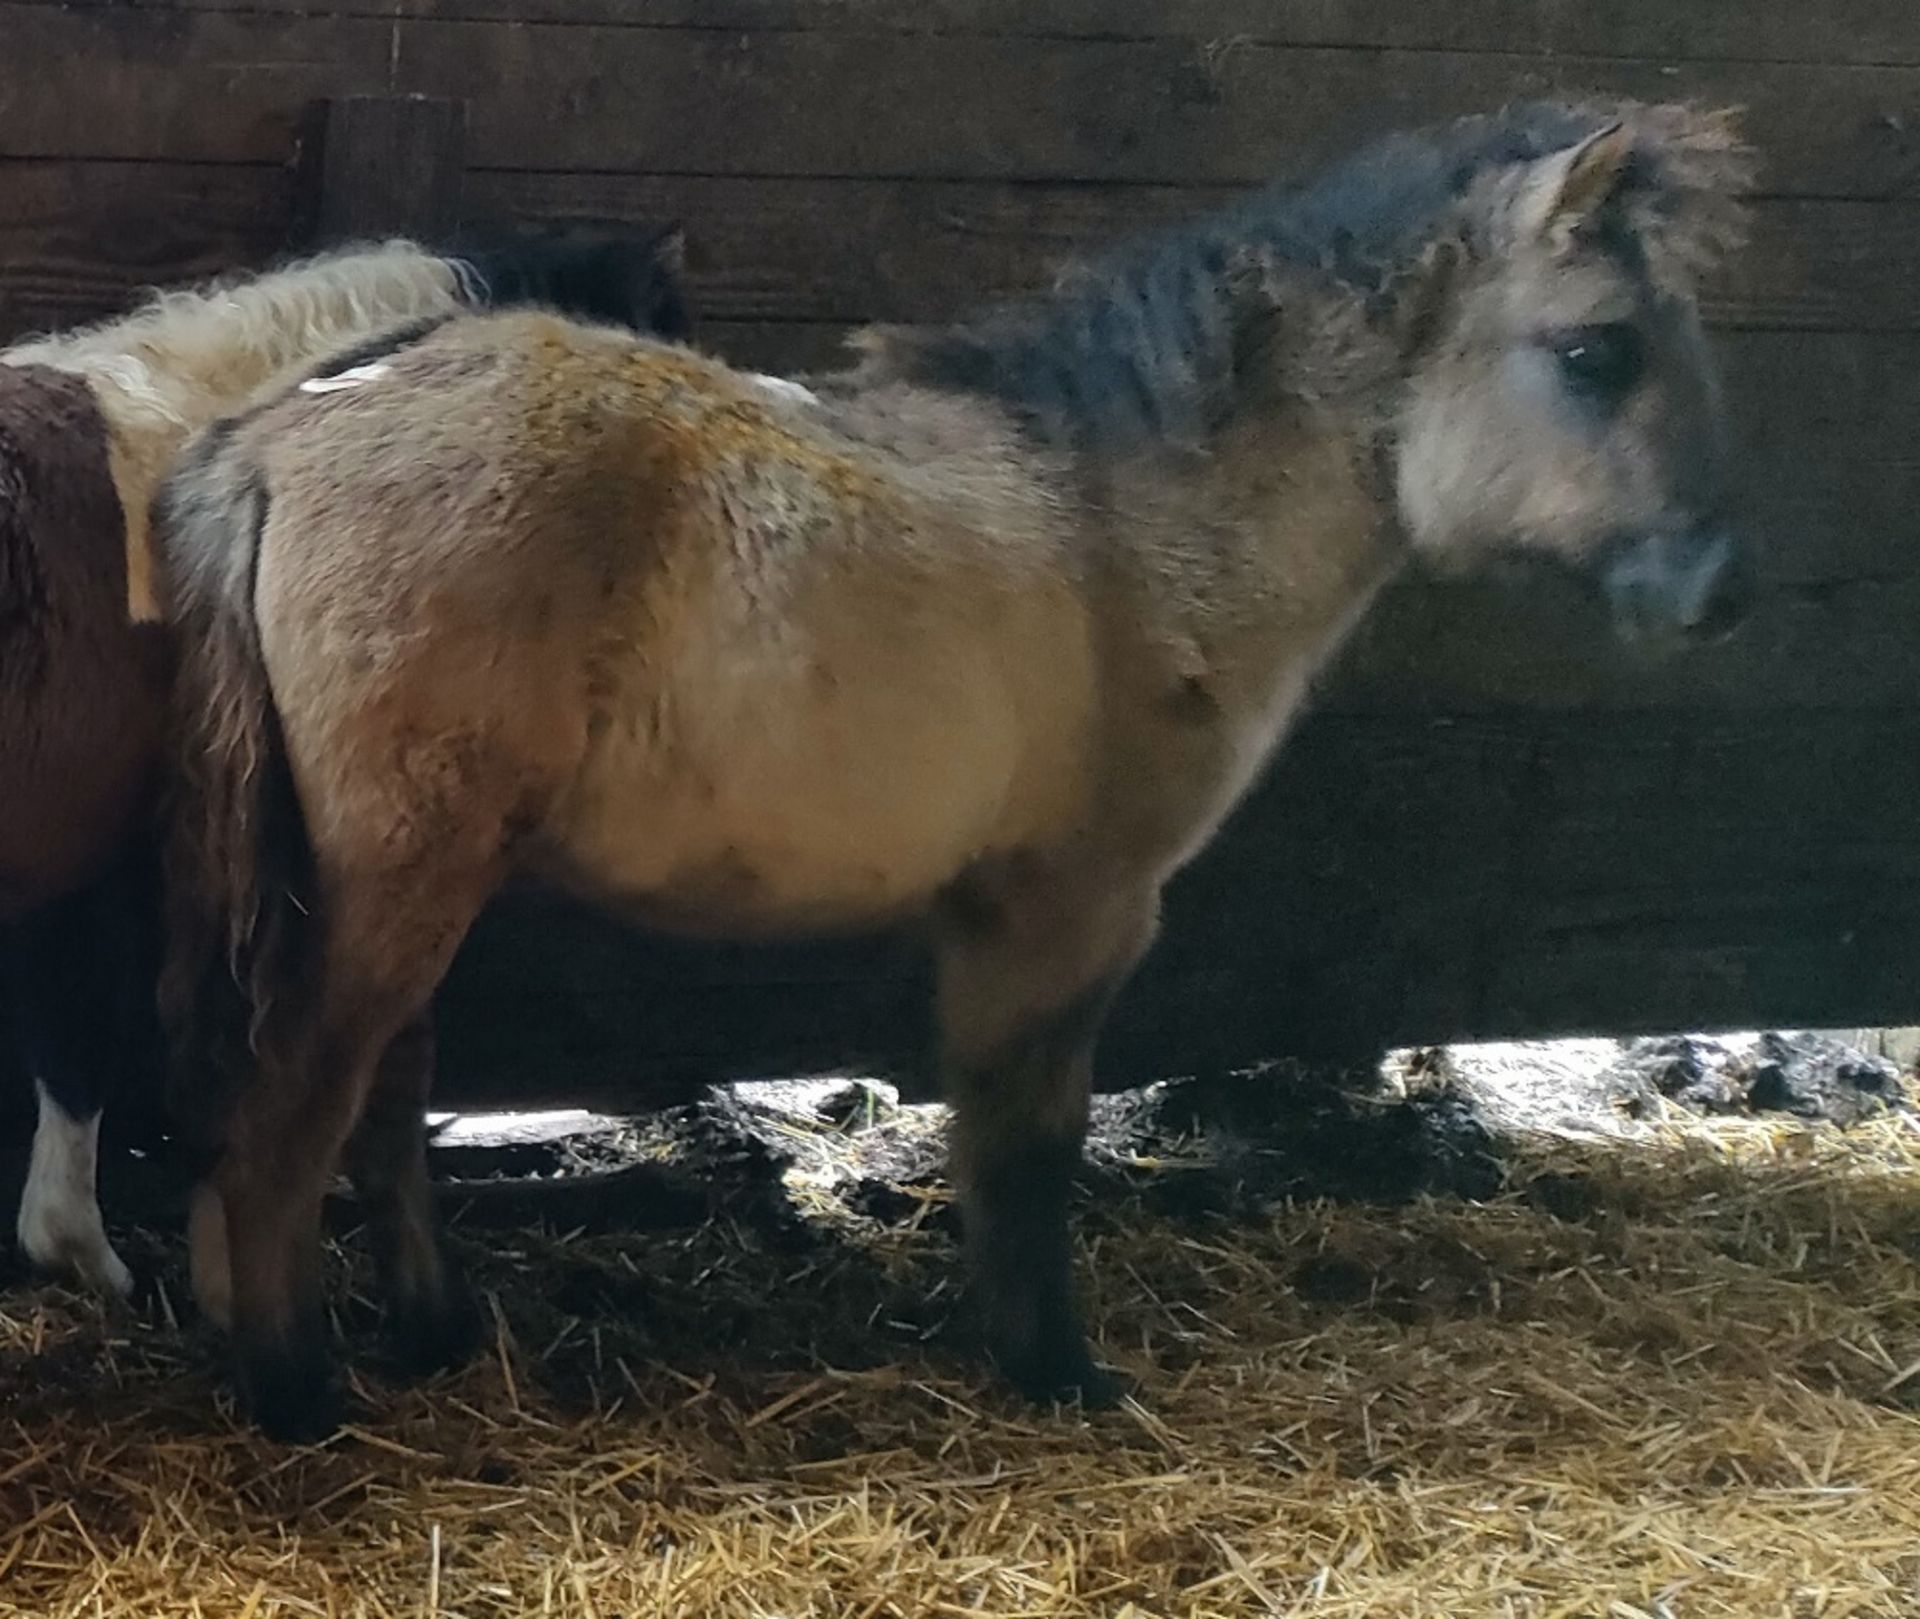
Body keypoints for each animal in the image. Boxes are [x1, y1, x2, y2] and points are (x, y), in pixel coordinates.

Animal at [161, 104, 1758, 1444]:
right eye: (1597, 349)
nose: (1719, 590)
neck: (1130, 527)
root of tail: (281, 434)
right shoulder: (1075, 905)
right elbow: (1029, 1138)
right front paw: (1055, 1366)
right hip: (396, 882)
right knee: (289, 1117)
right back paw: (296, 1393)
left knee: (376, 1096)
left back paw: (429, 1332)